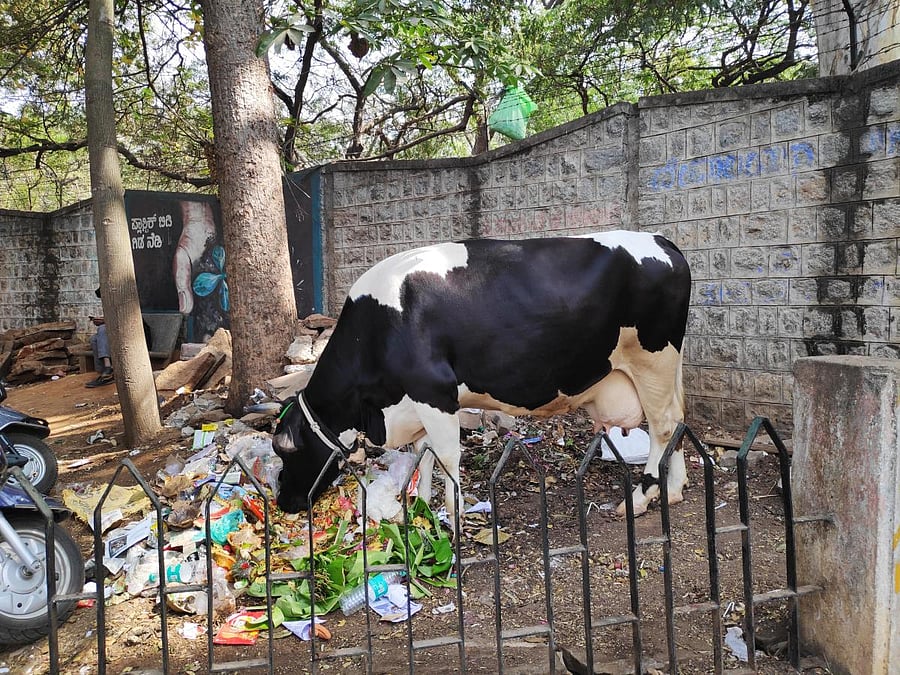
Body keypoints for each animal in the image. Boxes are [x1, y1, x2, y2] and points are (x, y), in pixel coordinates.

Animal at [272, 231, 691, 523]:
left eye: (286, 451)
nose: (283, 501)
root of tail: (661, 240)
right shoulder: (415, 403)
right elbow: (423, 455)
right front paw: (422, 511)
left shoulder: (435, 391)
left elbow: (445, 456)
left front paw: (453, 522)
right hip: (667, 368)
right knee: (679, 420)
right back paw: (673, 490)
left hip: (653, 361)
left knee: (663, 427)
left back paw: (640, 498)